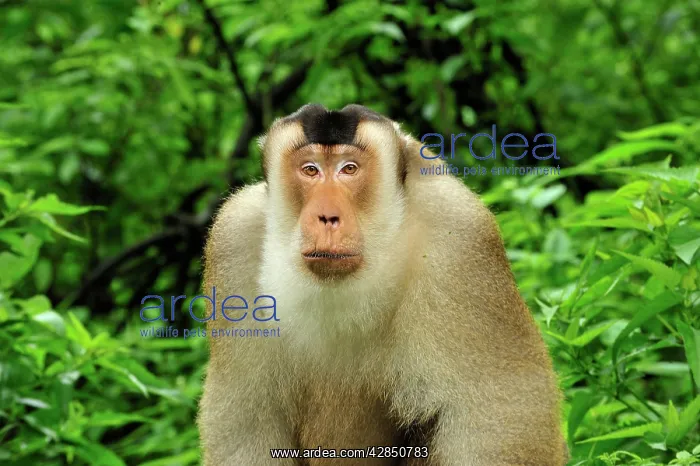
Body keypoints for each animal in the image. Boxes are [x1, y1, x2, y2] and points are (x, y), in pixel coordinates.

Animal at [197, 104, 567, 466]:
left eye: (349, 169)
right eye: (310, 170)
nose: (327, 217)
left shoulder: (460, 235)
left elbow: (499, 416)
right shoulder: (233, 238)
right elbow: (246, 422)